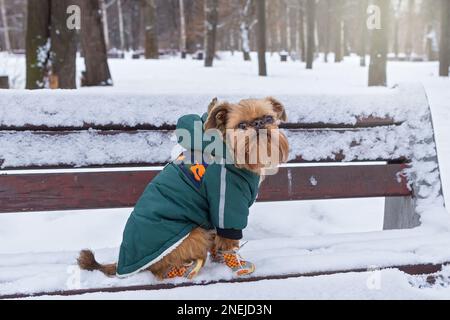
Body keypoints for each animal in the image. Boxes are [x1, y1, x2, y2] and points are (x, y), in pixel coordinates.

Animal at [78, 97, 290, 280]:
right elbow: (229, 240)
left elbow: (219, 241)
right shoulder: (227, 202)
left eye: (269, 118)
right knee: (160, 270)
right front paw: (235, 264)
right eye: (242, 125)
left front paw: (219, 259)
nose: (259, 124)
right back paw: (186, 269)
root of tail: (122, 263)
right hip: (194, 234)